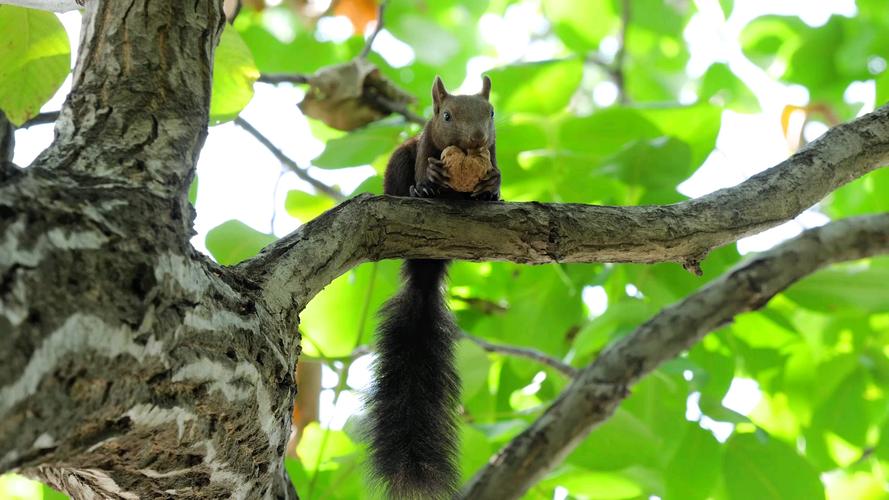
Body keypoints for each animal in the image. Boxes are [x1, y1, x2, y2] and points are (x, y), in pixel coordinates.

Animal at [362, 75, 500, 500]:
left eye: (491, 113)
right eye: (447, 116)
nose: (475, 139)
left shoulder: (494, 150)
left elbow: (497, 171)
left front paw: (492, 185)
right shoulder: (424, 142)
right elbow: (425, 161)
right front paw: (429, 184)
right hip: (398, 162)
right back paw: (416, 193)